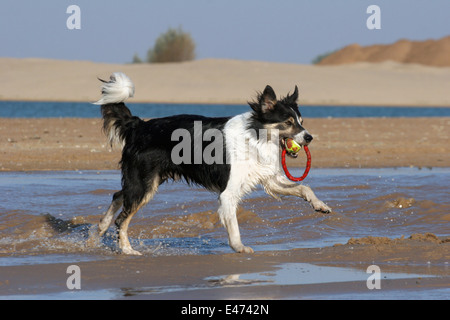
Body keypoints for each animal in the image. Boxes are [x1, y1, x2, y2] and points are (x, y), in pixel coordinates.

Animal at [94, 72, 330, 255]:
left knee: (118, 196)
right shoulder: (228, 193)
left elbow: (304, 187)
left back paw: (100, 229)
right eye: (288, 122)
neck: (254, 135)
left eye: (301, 122)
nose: (309, 137)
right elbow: (233, 225)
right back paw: (127, 249)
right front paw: (239, 247)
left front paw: (320, 205)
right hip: (144, 183)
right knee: (122, 218)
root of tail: (139, 126)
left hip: (147, 181)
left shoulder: (268, 179)